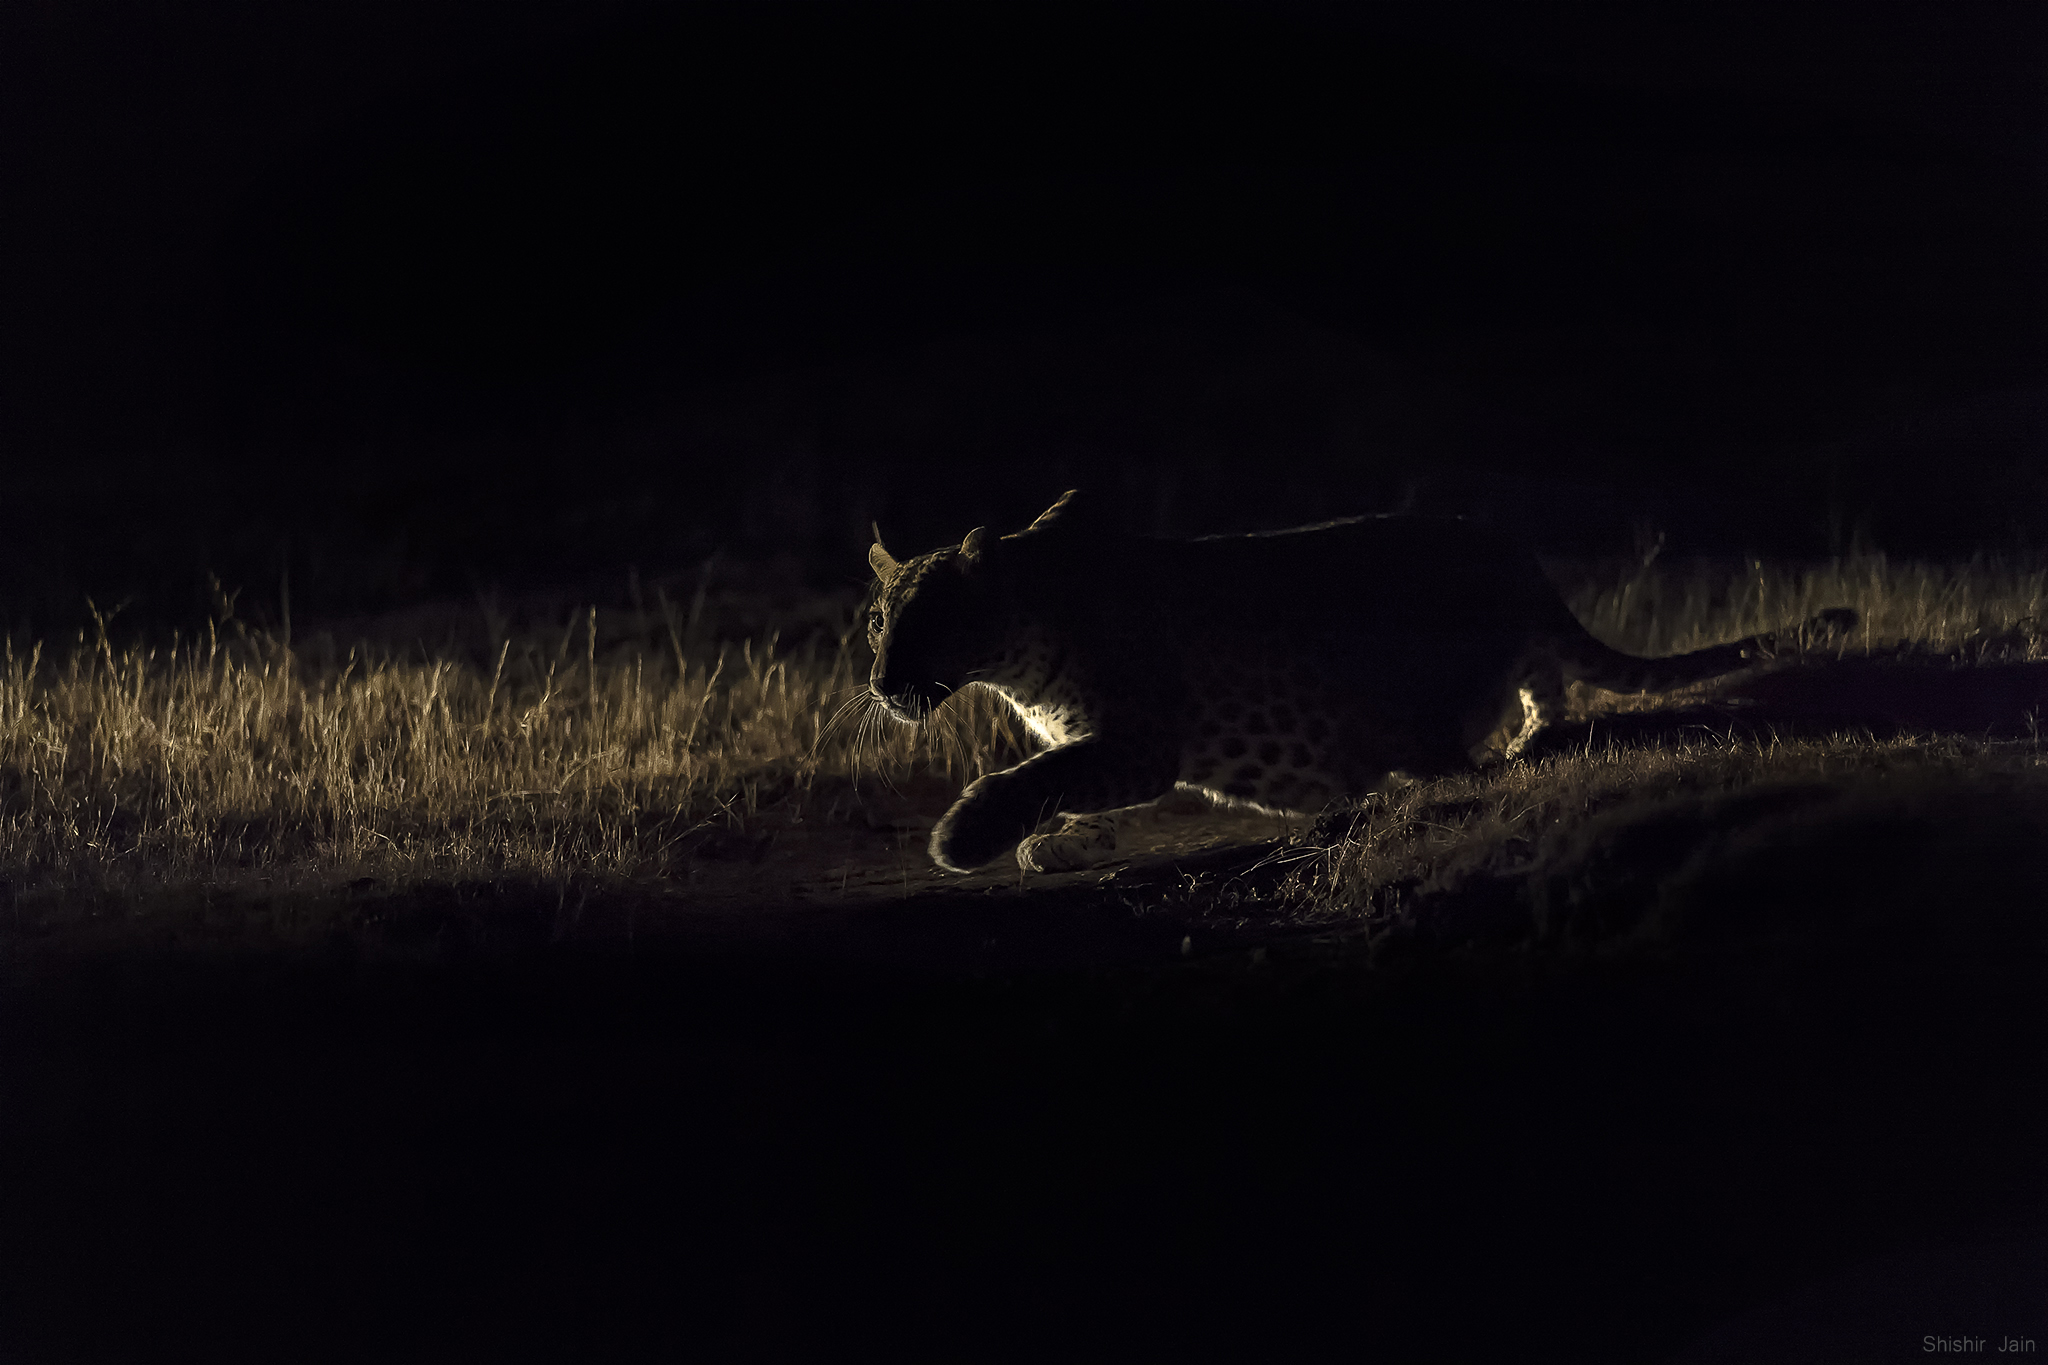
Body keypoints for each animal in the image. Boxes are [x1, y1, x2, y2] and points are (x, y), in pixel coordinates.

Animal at [864, 491, 1859, 875]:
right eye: (877, 621)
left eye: (929, 622)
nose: (875, 681)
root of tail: (1516, 558)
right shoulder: (1109, 741)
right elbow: (1073, 780)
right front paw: (1067, 842)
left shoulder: (1142, 739)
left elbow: (1052, 773)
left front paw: (968, 833)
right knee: (1540, 687)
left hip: (1417, 697)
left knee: (1476, 747)